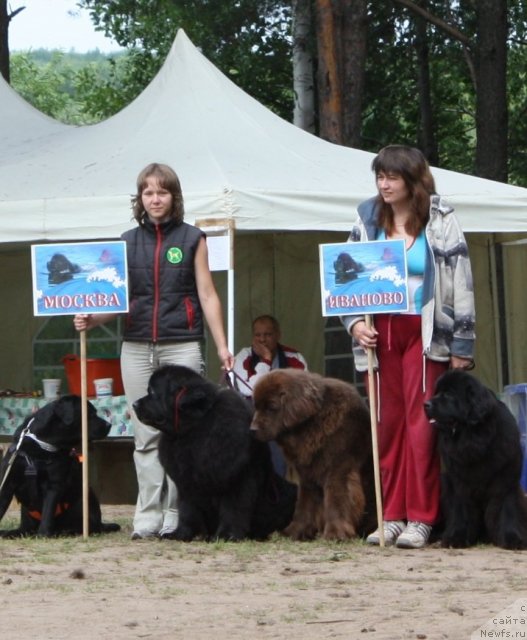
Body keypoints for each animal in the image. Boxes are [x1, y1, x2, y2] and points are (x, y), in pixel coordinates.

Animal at [0, 396, 120, 536]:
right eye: (90, 413)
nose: (109, 425)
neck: (41, 444)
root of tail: (101, 524)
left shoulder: (53, 485)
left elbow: (47, 512)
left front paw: (43, 534)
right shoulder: (7, 483)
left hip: (83, 501)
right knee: (24, 529)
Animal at [133, 364, 296, 540]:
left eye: (152, 392)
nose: (134, 404)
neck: (194, 428)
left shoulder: (238, 479)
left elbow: (233, 509)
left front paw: (226, 535)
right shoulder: (186, 483)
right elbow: (186, 510)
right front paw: (180, 533)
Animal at [251, 370, 378, 540]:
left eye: (271, 407)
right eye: (256, 407)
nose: (252, 429)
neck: (311, 424)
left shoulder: (338, 470)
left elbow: (336, 500)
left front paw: (335, 533)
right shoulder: (308, 475)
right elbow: (304, 505)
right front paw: (293, 532)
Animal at [424, 370, 527, 552]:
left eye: (449, 394)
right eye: (437, 392)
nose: (425, 404)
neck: (473, 440)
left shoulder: (506, 482)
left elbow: (508, 509)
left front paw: (513, 539)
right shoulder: (460, 484)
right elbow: (461, 510)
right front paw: (456, 537)